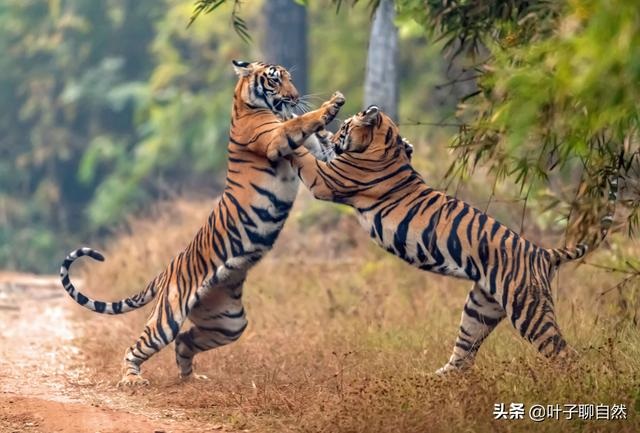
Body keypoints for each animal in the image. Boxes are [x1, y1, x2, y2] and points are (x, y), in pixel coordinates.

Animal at [59, 60, 345, 386]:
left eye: (290, 78)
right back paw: (132, 379)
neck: (247, 105)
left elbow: (321, 141)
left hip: (229, 321)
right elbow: (299, 124)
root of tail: (165, 272)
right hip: (168, 317)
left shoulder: (315, 150)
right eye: (275, 81)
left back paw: (191, 378)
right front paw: (331, 105)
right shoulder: (275, 139)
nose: (295, 97)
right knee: (138, 346)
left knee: (185, 340)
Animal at [289, 105, 618, 373]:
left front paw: (289, 128)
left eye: (346, 127)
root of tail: (543, 253)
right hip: (480, 307)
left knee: (563, 353)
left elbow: (303, 154)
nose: (336, 136)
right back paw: (428, 381)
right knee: (463, 357)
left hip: (529, 310)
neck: (386, 145)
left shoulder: (326, 180)